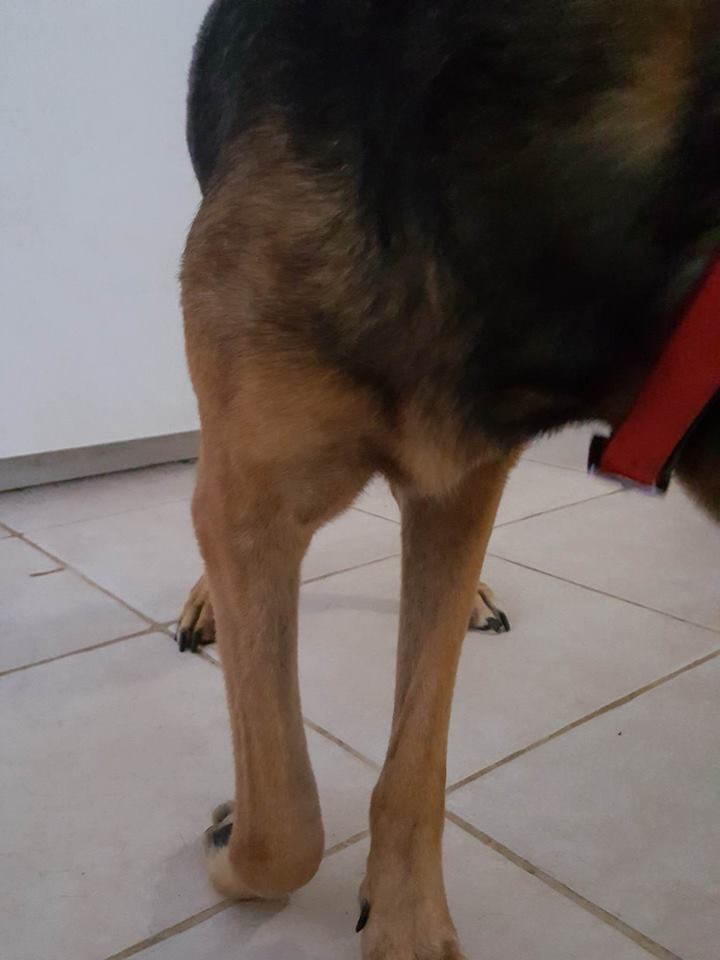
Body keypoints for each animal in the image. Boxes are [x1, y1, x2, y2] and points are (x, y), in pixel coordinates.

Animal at [175, 2, 720, 957]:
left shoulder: (458, 488)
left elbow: (416, 760)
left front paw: (405, 921)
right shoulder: (252, 502)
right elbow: (285, 824)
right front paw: (230, 841)